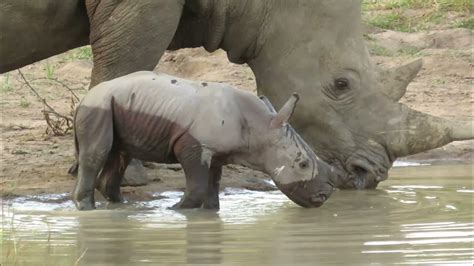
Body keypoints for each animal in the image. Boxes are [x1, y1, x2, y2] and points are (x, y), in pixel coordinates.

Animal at [70, 70, 336, 210]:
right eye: (302, 164)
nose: (324, 196)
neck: (261, 127)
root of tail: (83, 99)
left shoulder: (217, 152)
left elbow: (212, 189)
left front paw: (208, 213)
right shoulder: (196, 145)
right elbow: (197, 188)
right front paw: (174, 210)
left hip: (118, 104)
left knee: (121, 153)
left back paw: (123, 208)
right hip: (99, 106)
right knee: (97, 153)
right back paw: (88, 210)